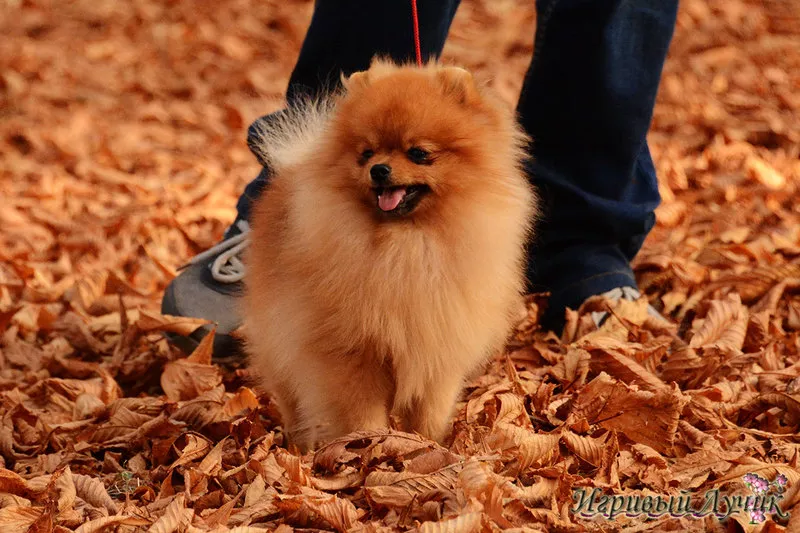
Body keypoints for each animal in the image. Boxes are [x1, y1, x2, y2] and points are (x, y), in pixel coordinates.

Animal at [244, 58, 536, 448]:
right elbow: (363, 412)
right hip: (279, 337)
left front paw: (429, 446)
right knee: (290, 397)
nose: (379, 169)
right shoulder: (353, 353)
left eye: (419, 154)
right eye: (366, 153)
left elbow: (429, 413)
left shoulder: (439, 350)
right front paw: (371, 447)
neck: (408, 246)